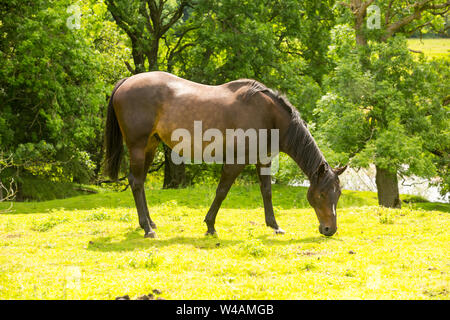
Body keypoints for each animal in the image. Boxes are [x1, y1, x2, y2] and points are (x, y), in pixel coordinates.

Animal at [103, 72, 346, 238]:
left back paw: (150, 223)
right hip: (137, 146)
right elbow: (222, 191)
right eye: (321, 194)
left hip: (150, 146)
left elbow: (267, 192)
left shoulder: (263, 160)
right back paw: (147, 228)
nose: (329, 229)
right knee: (136, 182)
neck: (268, 115)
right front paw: (210, 225)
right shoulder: (235, 162)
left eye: (338, 194)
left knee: (140, 182)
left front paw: (275, 226)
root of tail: (127, 81)